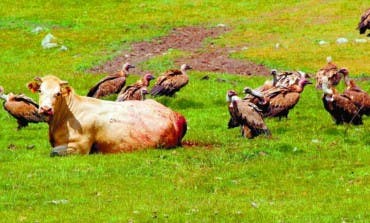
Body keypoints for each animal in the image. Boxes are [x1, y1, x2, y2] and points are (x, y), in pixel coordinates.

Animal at [28, 75, 188, 155]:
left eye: (58, 93)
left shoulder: (79, 147)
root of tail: (174, 114)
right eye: (40, 91)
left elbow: (53, 152)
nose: (46, 109)